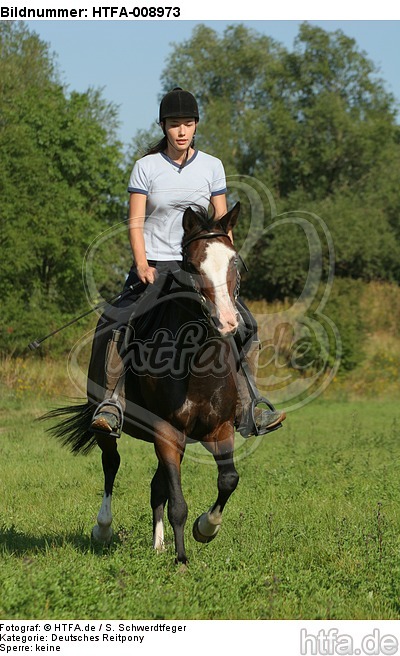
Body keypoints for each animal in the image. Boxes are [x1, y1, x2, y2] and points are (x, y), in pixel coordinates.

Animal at [46, 202, 243, 564]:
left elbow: (228, 479)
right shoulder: (166, 430)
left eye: (235, 261)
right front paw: (182, 560)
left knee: (157, 485)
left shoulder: (220, 428)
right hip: (113, 426)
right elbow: (178, 502)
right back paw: (104, 528)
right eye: (192, 265)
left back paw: (158, 543)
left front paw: (205, 529)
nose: (226, 321)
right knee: (112, 465)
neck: (197, 363)